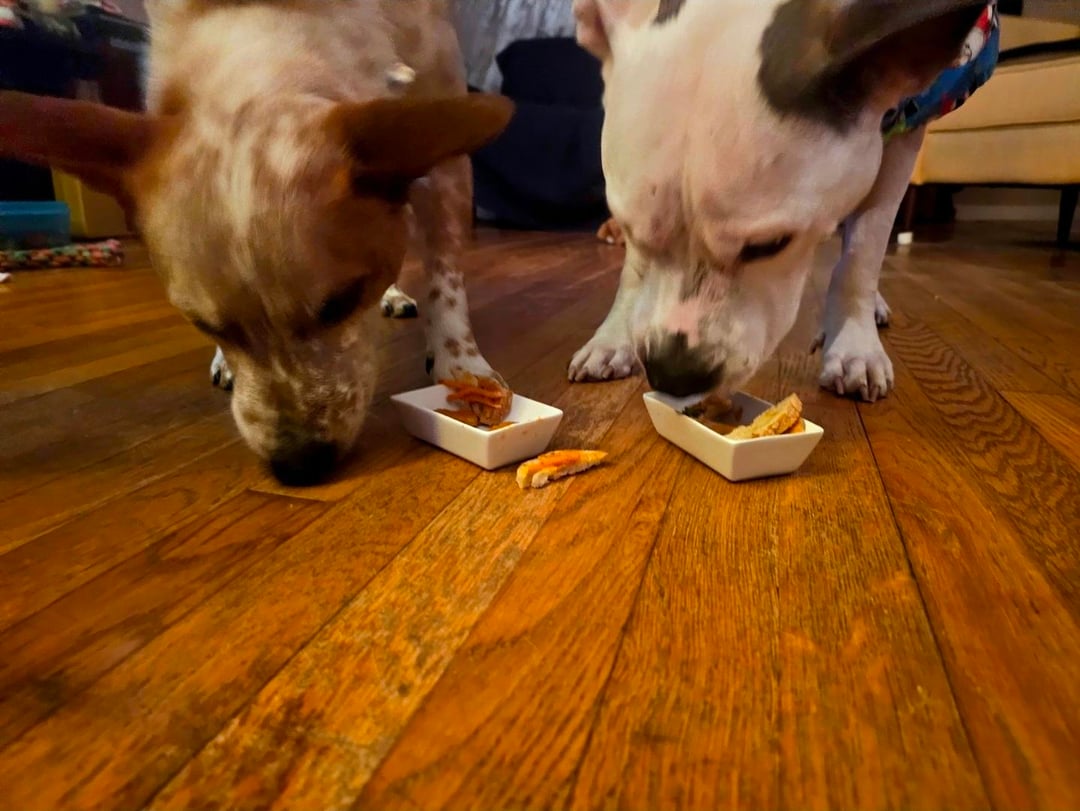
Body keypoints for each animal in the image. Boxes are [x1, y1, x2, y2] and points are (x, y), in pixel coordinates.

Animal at [0, 0, 513, 485]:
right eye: (202, 324)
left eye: (341, 302)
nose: (299, 465)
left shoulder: (441, 122)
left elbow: (445, 274)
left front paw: (461, 363)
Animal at [568, 0, 999, 403]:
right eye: (631, 233)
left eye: (769, 246)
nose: (674, 375)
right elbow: (633, 271)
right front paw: (613, 336)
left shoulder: (907, 132)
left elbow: (863, 254)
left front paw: (854, 344)